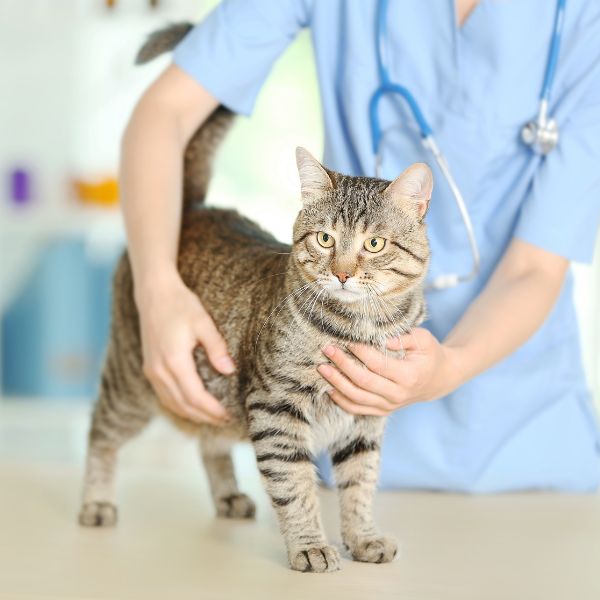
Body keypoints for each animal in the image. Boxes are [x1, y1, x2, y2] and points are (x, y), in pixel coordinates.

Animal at [79, 25, 432, 576]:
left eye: (374, 244)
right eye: (325, 239)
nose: (343, 272)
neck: (360, 328)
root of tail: (195, 208)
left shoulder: (365, 417)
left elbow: (360, 484)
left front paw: (362, 537)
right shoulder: (277, 407)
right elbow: (296, 486)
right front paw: (310, 545)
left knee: (209, 442)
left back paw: (227, 495)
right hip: (135, 380)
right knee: (99, 430)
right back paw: (95, 501)